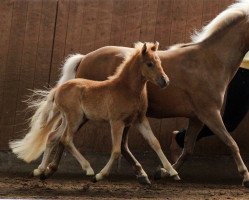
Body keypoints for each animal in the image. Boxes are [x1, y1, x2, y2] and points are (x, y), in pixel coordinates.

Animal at [9, 41, 179, 184]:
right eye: (150, 64)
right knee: (66, 139)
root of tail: (58, 89)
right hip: (75, 118)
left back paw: (40, 170)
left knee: (53, 137)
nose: (165, 81)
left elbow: (155, 143)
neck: (127, 89)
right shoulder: (116, 122)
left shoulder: (139, 120)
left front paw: (172, 172)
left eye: (160, 62)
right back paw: (88, 169)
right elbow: (116, 150)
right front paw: (100, 175)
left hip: (68, 119)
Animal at [30, 0, 249, 188]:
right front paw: (245, 176)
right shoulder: (209, 113)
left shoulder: (197, 117)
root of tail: (84, 58)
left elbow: (188, 149)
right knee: (65, 137)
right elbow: (231, 143)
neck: (209, 61)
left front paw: (165, 172)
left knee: (67, 137)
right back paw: (59, 170)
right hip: (87, 114)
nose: (165, 81)